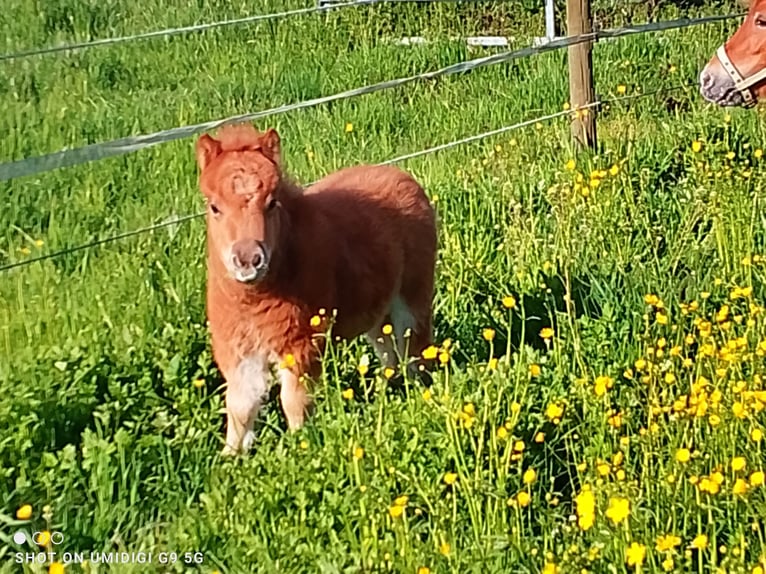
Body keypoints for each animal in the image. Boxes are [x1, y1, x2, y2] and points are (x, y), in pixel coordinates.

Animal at [195, 124, 437, 454]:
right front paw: (230, 458)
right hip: (379, 308)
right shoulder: (237, 350)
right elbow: (240, 407)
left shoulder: (302, 343)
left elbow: (295, 403)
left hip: (414, 294)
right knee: (387, 347)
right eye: (214, 207)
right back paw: (389, 390)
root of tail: (401, 176)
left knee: (416, 345)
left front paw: (303, 449)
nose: (248, 259)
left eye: (272, 203)